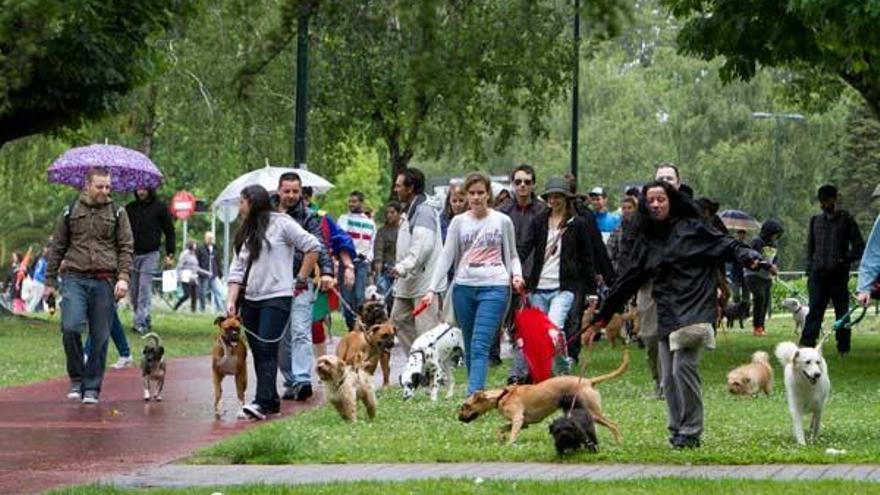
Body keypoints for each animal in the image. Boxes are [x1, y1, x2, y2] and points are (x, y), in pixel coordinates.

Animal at [458, 348, 628, 446]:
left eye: (465, 406)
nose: (459, 418)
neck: (502, 395)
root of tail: (588, 381)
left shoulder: (518, 419)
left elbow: (512, 433)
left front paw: (509, 444)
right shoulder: (524, 423)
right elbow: (500, 429)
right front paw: (501, 439)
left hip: (593, 412)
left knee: (614, 425)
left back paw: (619, 442)